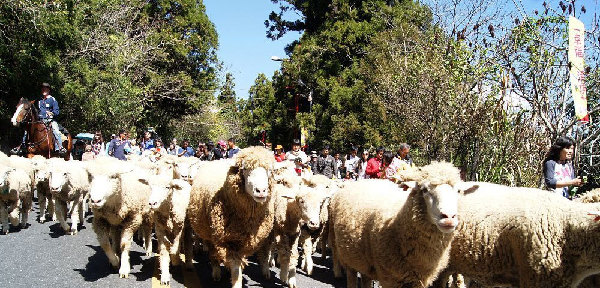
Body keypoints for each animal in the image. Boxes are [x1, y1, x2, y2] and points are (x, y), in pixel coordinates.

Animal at [186, 146, 282, 288]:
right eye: (245, 169)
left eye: (270, 171)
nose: (261, 191)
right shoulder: (229, 241)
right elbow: (236, 267)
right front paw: (236, 282)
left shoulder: (245, 240)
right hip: (209, 233)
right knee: (213, 254)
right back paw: (216, 273)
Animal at [326, 162, 466, 288]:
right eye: (424, 190)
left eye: (458, 191)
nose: (449, 217)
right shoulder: (390, 276)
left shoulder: (419, 279)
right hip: (346, 252)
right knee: (350, 274)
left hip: (364, 259)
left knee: (365, 277)